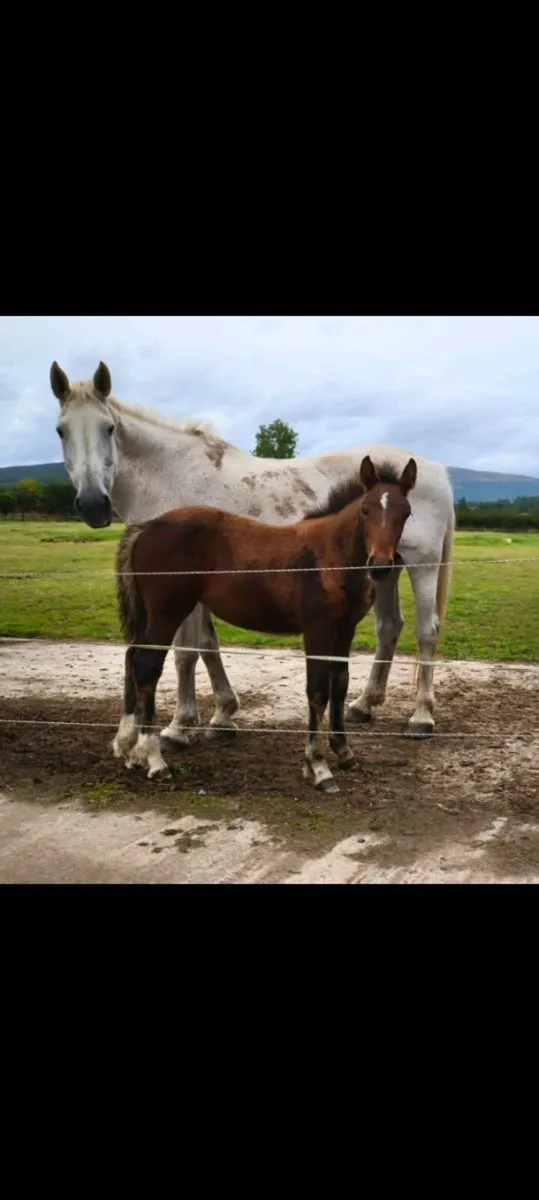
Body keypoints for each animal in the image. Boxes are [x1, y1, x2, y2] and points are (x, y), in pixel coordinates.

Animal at [50, 360, 454, 738]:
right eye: (61, 430)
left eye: (108, 428)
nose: (93, 504)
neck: (170, 476)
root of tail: (432, 469)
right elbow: (208, 646)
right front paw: (222, 715)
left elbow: (186, 652)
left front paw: (181, 725)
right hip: (383, 567)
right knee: (389, 627)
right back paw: (363, 705)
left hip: (420, 566)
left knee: (426, 630)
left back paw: (421, 716)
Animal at [112, 454, 417, 793]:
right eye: (365, 509)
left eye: (406, 512)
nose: (381, 565)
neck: (331, 556)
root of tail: (146, 528)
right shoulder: (318, 630)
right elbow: (317, 692)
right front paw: (318, 766)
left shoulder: (344, 629)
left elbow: (340, 684)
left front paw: (344, 751)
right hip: (168, 612)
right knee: (146, 666)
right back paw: (154, 759)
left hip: (149, 614)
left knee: (131, 658)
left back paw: (129, 749)